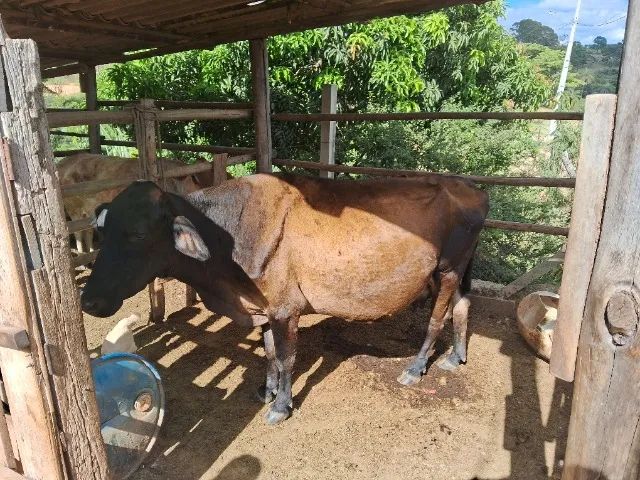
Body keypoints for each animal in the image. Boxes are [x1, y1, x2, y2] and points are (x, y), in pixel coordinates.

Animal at [80, 173, 489, 424]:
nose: (88, 301)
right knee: (463, 305)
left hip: (447, 268)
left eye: (136, 233)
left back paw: (416, 368)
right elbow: (270, 353)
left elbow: (287, 357)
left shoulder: (285, 308)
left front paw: (280, 405)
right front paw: (268, 389)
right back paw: (454, 357)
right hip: (458, 270)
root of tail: (473, 188)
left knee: (436, 319)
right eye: (101, 233)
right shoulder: (264, 308)